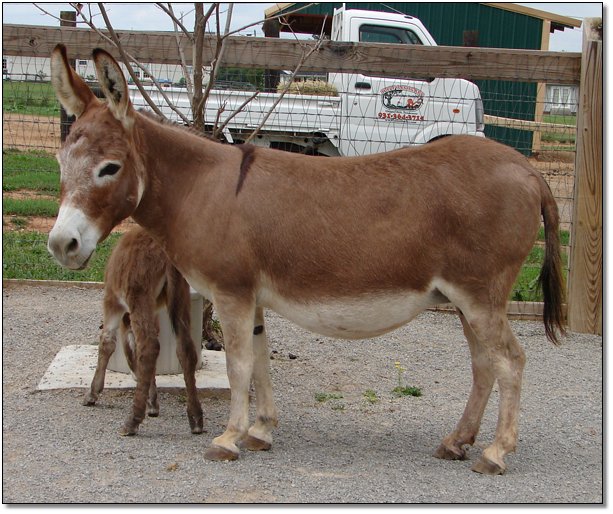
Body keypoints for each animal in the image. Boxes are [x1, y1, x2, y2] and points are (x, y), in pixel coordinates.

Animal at [83, 226, 203, 434]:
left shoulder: (112, 301)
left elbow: (107, 341)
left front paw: (92, 393)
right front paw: (152, 402)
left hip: (139, 294)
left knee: (149, 347)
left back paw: (132, 421)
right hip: (180, 294)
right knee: (185, 348)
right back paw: (195, 418)